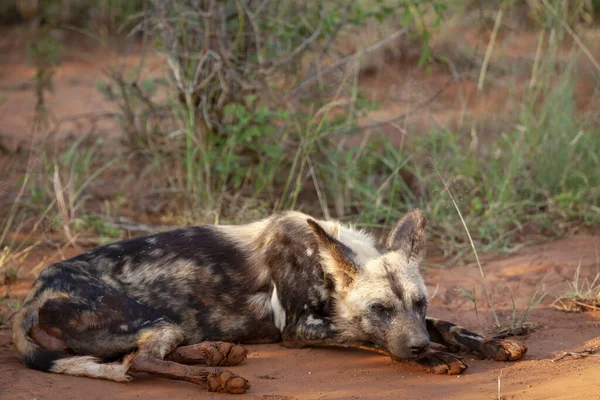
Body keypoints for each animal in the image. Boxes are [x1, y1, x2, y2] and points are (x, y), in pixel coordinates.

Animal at [12, 209, 524, 394]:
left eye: (418, 303)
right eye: (380, 309)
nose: (415, 348)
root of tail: (35, 292)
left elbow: (446, 323)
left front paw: (489, 343)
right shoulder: (299, 329)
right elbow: (368, 336)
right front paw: (436, 358)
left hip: (168, 323)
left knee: (144, 353)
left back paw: (218, 352)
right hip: (152, 320)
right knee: (137, 361)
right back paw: (216, 377)